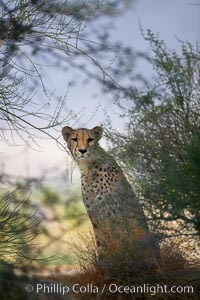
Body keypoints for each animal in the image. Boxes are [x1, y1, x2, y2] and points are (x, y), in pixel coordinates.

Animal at [62, 126, 159, 268]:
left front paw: (115, 263)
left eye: (90, 139)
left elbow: (115, 242)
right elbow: (101, 244)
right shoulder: (95, 216)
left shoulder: (112, 215)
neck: (88, 168)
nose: (82, 150)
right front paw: (104, 265)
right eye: (75, 139)